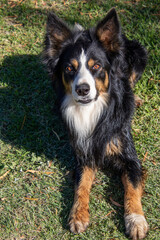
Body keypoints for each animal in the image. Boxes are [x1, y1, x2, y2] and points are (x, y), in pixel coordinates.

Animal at [42, 7, 149, 240]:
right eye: (69, 68)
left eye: (97, 66)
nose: (82, 89)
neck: (93, 110)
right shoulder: (84, 153)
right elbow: (81, 185)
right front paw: (78, 215)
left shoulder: (130, 157)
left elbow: (132, 190)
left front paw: (136, 220)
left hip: (139, 54)